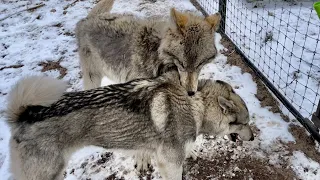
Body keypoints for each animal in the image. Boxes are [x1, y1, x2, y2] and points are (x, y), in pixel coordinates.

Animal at [75, 0, 221, 95]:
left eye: (199, 64)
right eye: (181, 63)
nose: (190, 93)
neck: (156, 53)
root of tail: (88, 18)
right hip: (92, 78)